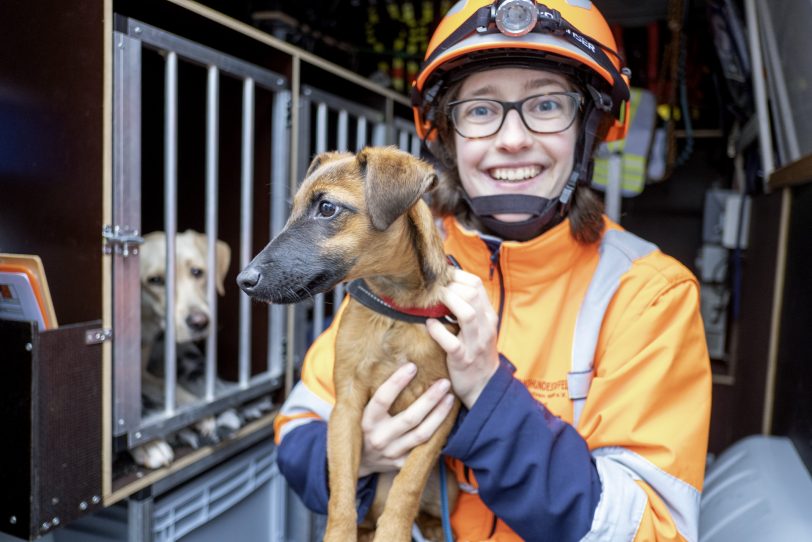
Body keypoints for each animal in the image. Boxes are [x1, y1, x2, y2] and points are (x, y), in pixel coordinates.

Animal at [238, 148, 460, 542]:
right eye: (293, 208)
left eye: (327, 207)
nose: (242, 280)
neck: (394, 308)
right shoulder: (347, 407)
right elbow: (341, 489)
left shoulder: (444, 407)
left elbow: (408, 484)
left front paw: (394, 534)